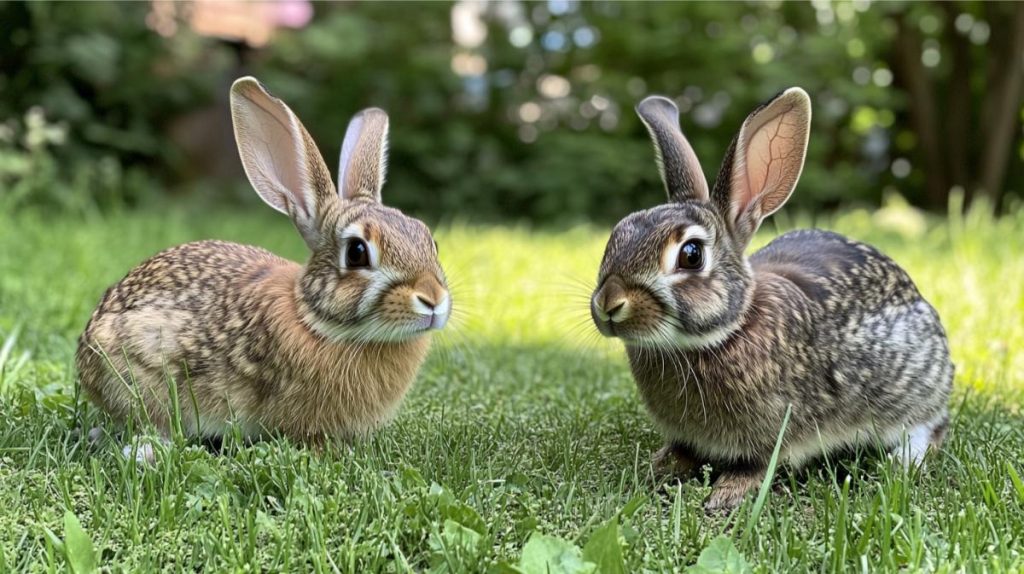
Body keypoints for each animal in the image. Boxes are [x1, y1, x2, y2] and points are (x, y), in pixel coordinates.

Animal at [589, 88, 954, 509]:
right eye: (618, 233)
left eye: (691, 255)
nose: (609, 304)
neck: (725, 332)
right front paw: (659, 465)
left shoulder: (782, 427)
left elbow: (761, 464)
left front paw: (726, 493)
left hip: (915, 386)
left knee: (929, 425)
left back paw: (901, 462)